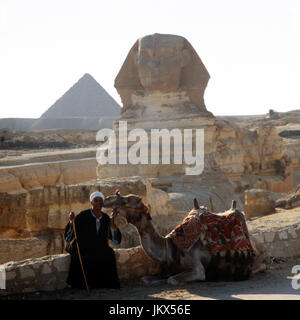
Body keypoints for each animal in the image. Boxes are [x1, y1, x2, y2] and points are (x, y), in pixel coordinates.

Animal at [103, 192, 264, 284]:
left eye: (128, 200)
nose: (107, 199)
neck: (168, 247)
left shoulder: (198, 268)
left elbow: (172, 280)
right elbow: (146, 279)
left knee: (260, 266)